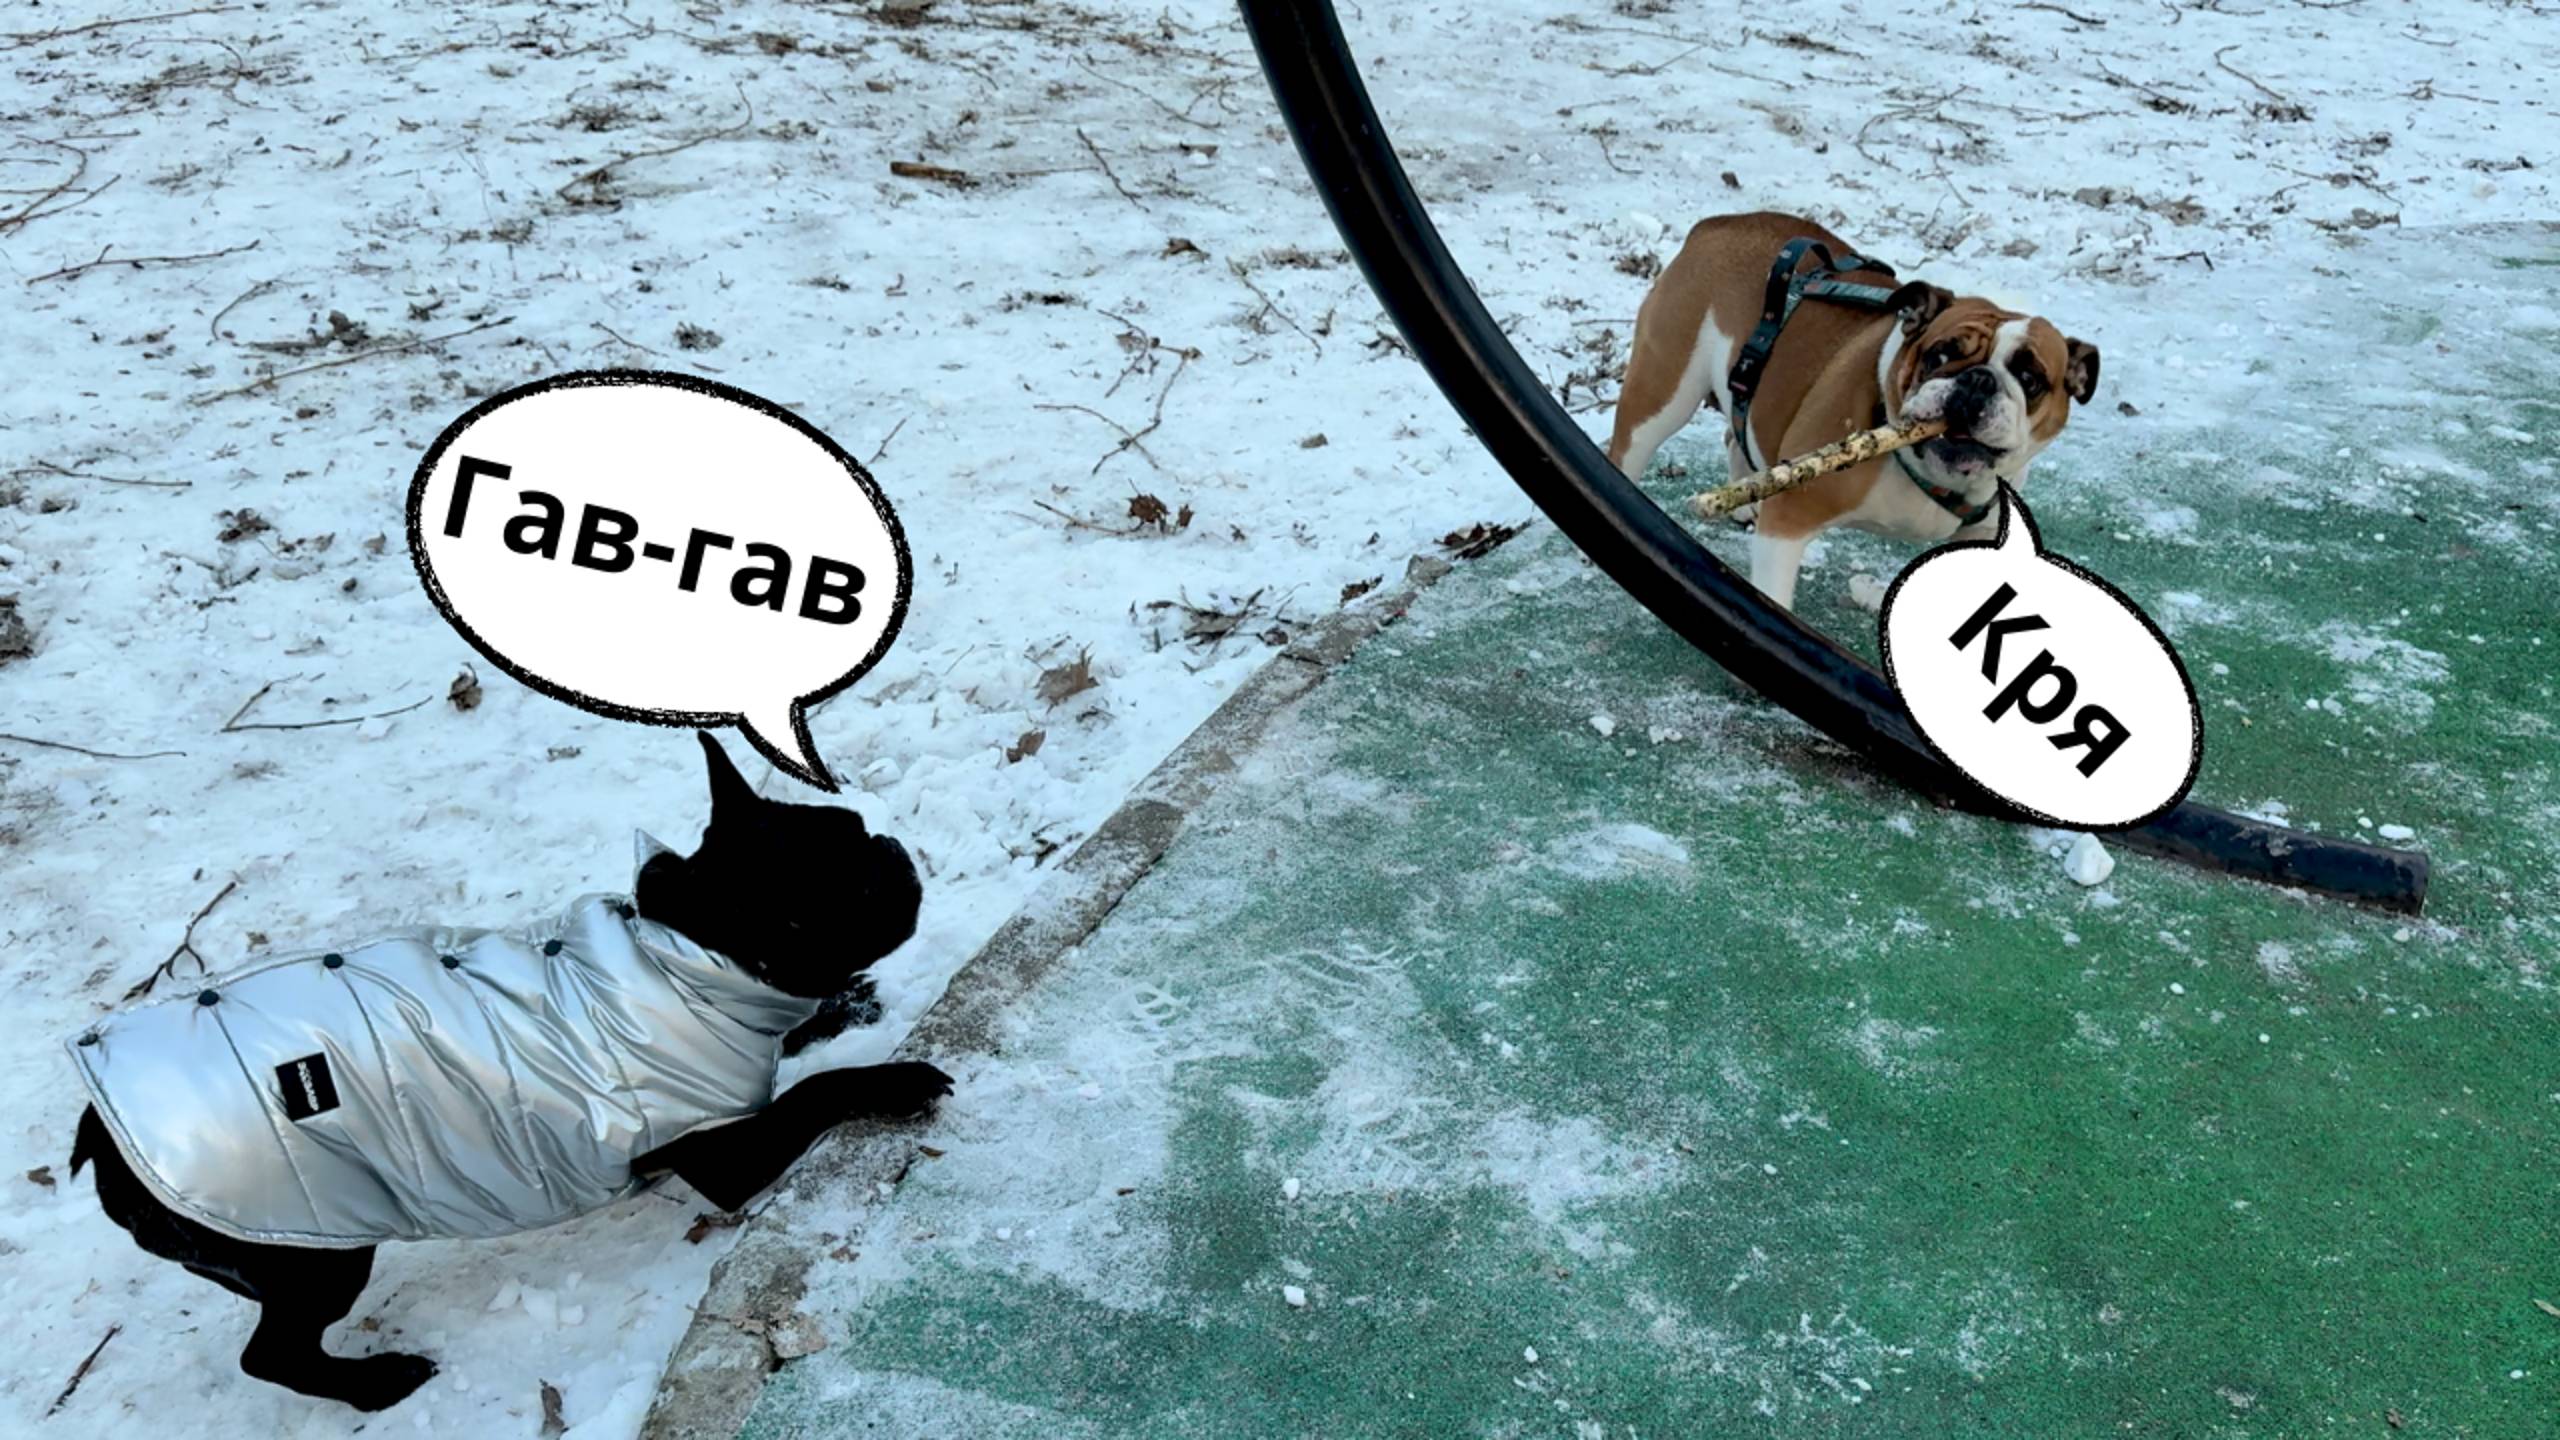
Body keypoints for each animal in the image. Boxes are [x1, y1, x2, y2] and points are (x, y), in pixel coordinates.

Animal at [65, 732, 948, 1411]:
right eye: (848, 880)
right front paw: (895, 1078)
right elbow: (811, 1091)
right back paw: (376, 1385)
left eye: (858, 829)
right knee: (274, 1354)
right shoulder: (723, 1147)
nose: (891, 848)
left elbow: (797, 1037)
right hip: (315, 1251)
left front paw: (842, 1007)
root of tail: (101, 1138)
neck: (689, 951)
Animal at [1607, 210, 2100, 610]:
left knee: (1736, 431)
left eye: (2031, 380)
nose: (1977, 380)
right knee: (1632, 448)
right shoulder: (1790, 519)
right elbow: (1775, 597)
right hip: (1665, 388)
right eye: (1939, 355)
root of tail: (1715, 225)